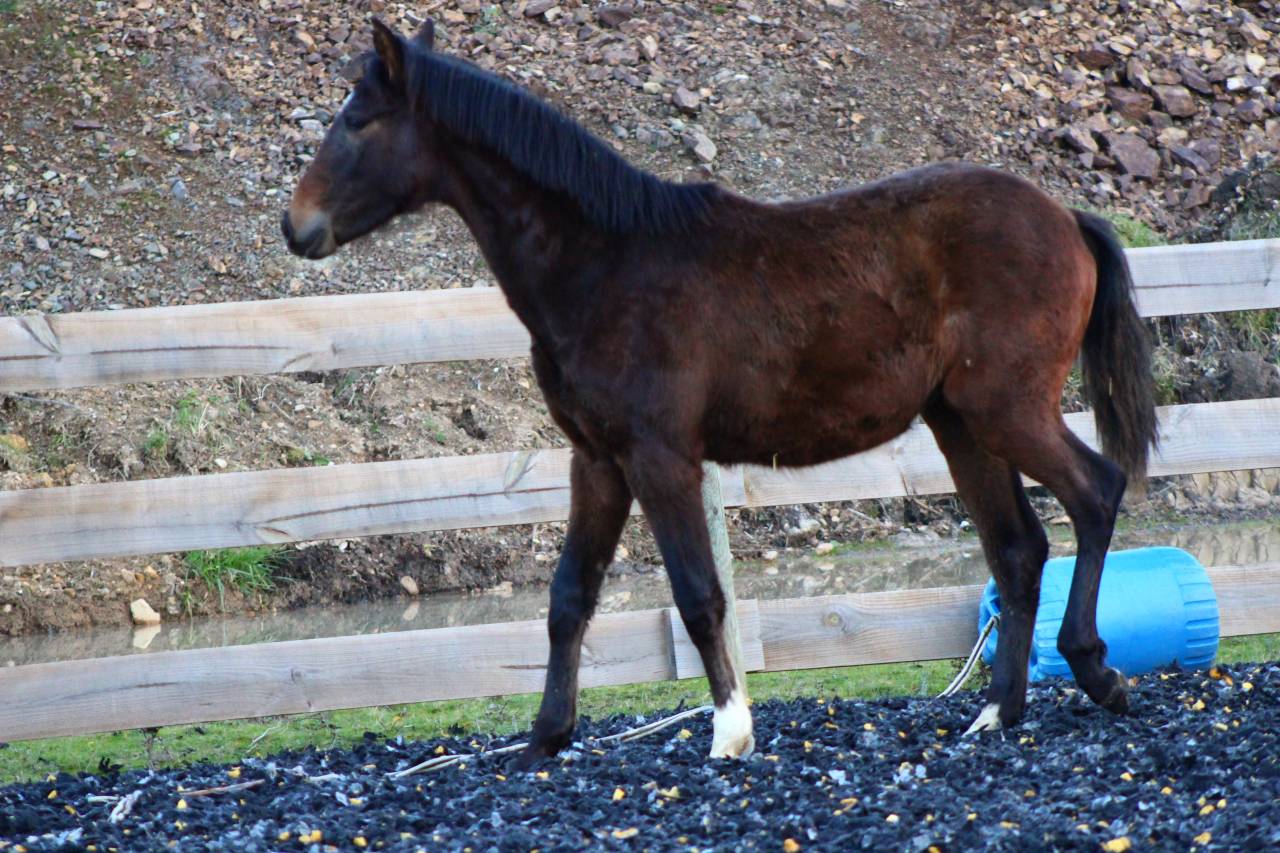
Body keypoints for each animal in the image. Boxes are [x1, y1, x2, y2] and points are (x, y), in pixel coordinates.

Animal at [282, 18, 1157, 768]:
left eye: (358, 120)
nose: (298, 226)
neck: (604, 264)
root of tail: (1067, 218)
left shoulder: (660, 457)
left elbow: (700, 594)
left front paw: (730, 731)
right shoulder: (596, 460)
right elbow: (569, 595)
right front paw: (546, 736)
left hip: (1006, 410)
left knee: (1095, 492)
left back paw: (1094, 670)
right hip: (962, 425)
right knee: (1018, 549)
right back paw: (997, 712)